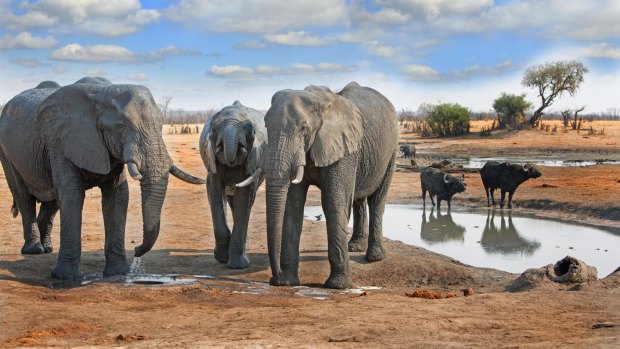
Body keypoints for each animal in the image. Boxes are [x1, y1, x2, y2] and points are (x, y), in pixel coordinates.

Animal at [0, 77, 205, 278]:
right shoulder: (61, 142)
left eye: (161, 125)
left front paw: (118, 273)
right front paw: (66, 277)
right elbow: (71, 194)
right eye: (120, 126)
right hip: (7, 153)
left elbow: (118, 196)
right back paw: (34, 250)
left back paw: (47, 248)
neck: (103, 91)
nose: (136, 249)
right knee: (23, 196)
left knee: (52, 201)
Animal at [260, 81, 398, 288]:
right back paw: (354, 247)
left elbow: (334, 203)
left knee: (377, 200)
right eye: (266, 125)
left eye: (303, 128)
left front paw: (338, 286)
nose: (275, 277)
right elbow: (292, 206)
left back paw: (374, 257)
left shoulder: (344, 149)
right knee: (357, 198)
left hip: (391, 151)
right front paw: (287, 282)